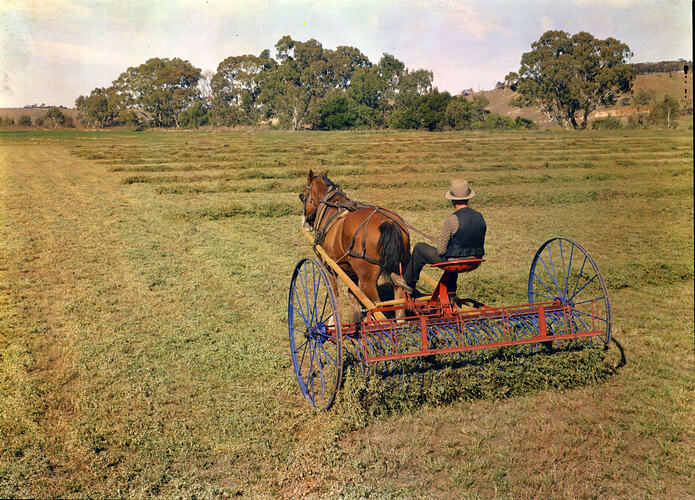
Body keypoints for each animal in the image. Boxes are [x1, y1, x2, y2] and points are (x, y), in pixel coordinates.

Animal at [300, 170, 414, 322]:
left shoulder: (328, 266)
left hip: (367, 280)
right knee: (399, 306)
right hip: (401, 270)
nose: (306, 222)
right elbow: (352, 295)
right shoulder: (350, 271)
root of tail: (388, 222)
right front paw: (356, 319)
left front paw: (333, 321)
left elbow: (334, 295)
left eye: (303, 196)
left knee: (378, 309)